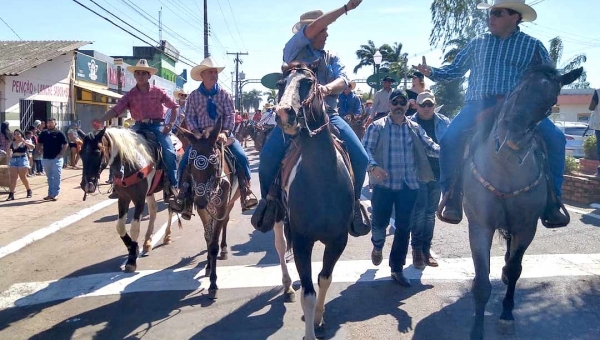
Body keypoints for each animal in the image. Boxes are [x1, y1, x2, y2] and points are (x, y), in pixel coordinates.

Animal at [78, 129, 176, 272]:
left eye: (97, 152)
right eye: (80, 153)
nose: (86, 185)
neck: (130, 163)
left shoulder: (139, 199)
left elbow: (134, 228)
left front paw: (131, 260)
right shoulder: (123, 198)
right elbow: (120, 226)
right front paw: (133, 248)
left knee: (171, 209)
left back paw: (167, 236)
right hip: (150, 192)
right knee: (153, 210)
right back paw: (147, 241)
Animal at [175, 117, 240, 300]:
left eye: (214, 163)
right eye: (190, 165)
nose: (201, 201)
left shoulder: (221, 207)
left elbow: (214, 245)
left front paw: (213, 283)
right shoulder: (204, 211)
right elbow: (208, 238)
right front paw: (209, 267)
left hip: (230, 203)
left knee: (225, 223)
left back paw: (224, 249)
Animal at [274, 61, 354, 340]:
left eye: (308, 82)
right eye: (280, 84)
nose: (283, 113)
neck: (321, 178)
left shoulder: (338, 239)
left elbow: (324, 279)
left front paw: (319, 319)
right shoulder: (302, 241)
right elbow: (308, 293)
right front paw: (310, 330)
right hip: (278, 218)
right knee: (279, 246)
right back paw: (287, 286)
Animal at [462, 64, 584, 340]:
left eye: (551, 104)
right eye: (518, 88)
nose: (512, 139)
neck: (505, 170)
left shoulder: (526, 227)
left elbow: (515, 269)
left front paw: (507, 315)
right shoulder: (480, 226)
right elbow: (481, 281)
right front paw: (476, 330)